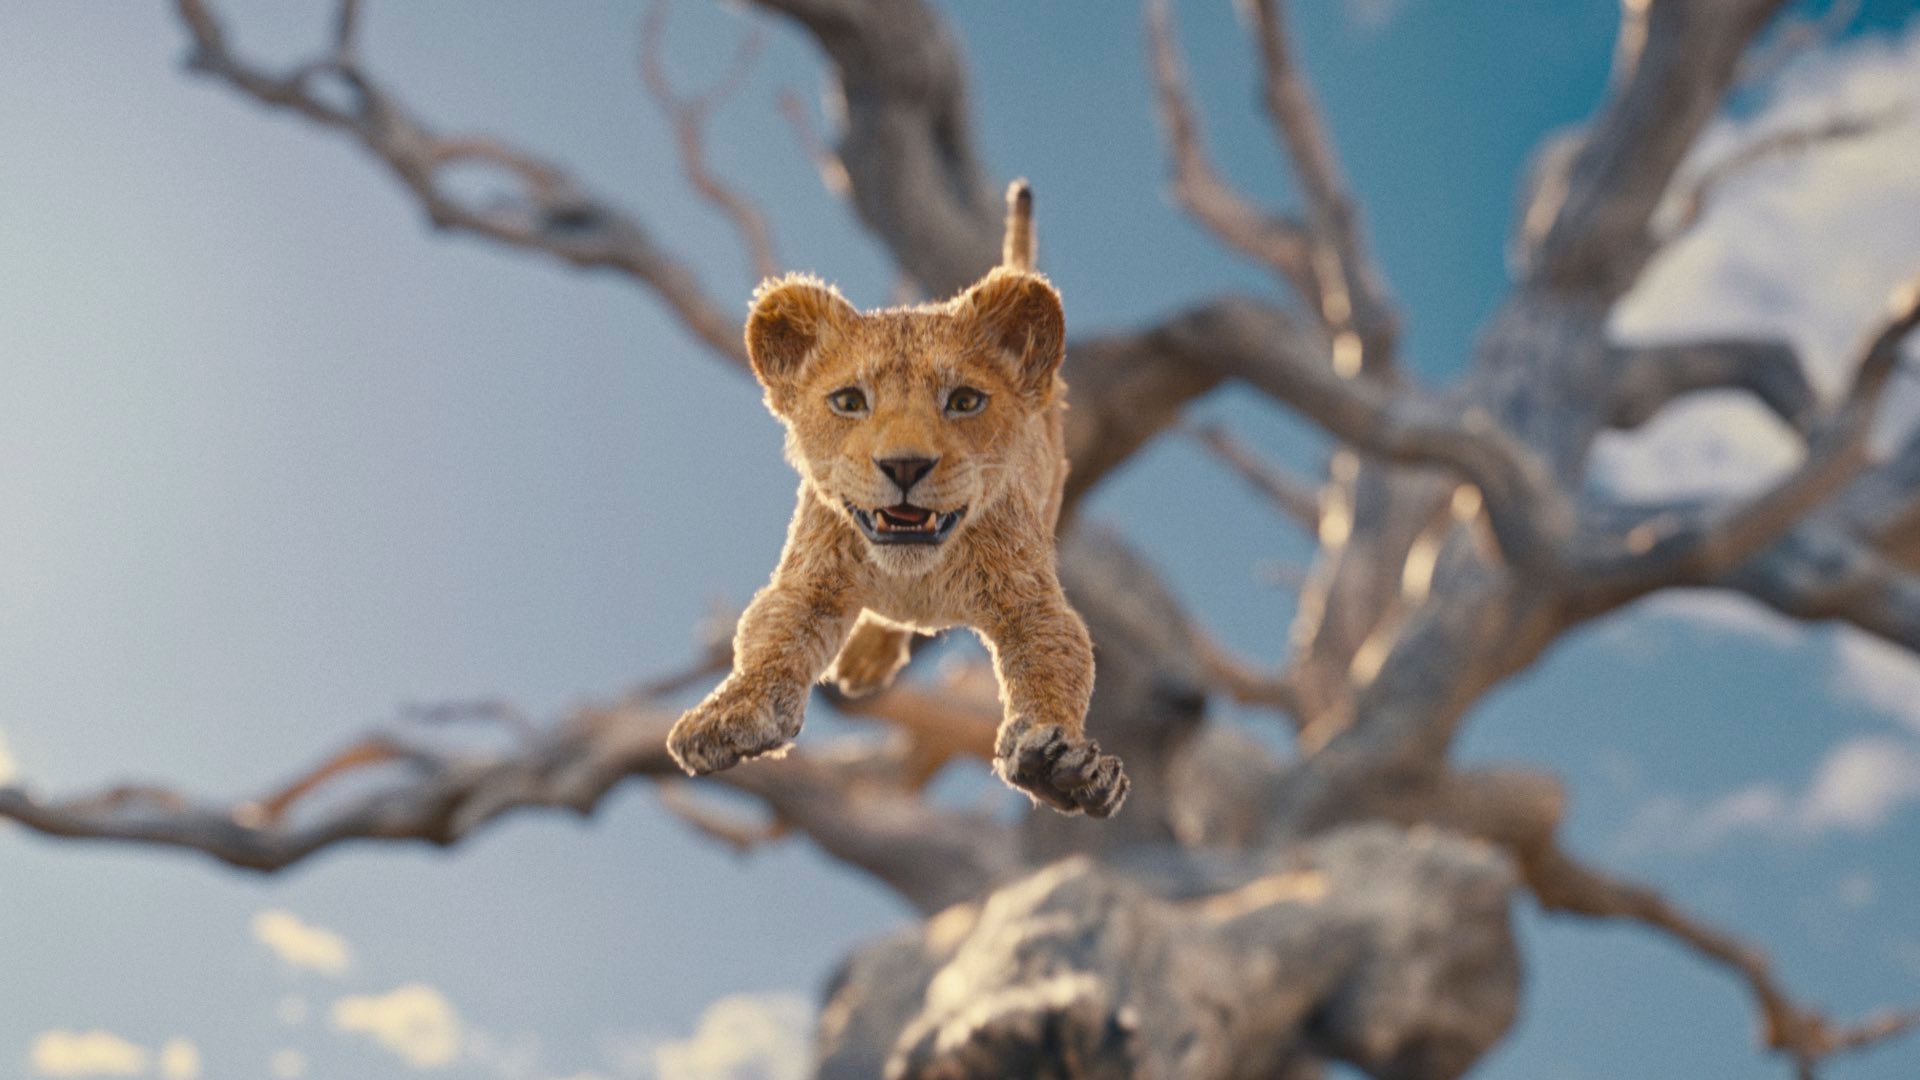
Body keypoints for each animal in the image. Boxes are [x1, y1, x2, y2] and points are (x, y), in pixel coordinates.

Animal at [664, 184, 1128, 817]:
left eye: (964, 401)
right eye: (849, 401)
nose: (905, 465)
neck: (915, 573)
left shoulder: (1030, 600)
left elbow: (1056, 663)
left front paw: (1059, 764)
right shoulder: (809, 580)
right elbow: (769, 641)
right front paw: (728, 715)